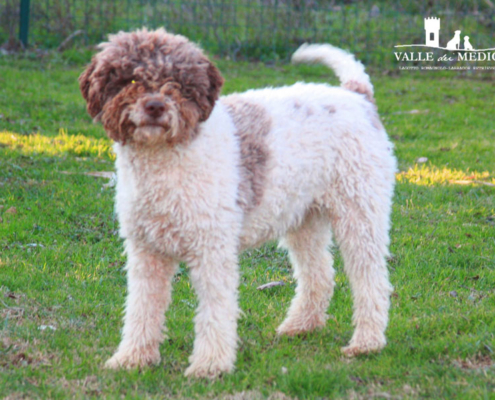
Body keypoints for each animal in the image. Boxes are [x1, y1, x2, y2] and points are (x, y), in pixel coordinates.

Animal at [80, 28, 400, 378]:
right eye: (131, 80)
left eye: (177, 81)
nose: (155, 106)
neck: (165, 159)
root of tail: (357, 96)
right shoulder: (145, 251)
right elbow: (141, 308)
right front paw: (132, 358)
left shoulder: (212, 249)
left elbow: (215, 311)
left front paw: (209, 365)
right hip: (304, 218)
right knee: (320, 274)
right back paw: (301, 325)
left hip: (360, 210)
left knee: (371, 279)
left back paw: (367, 343)